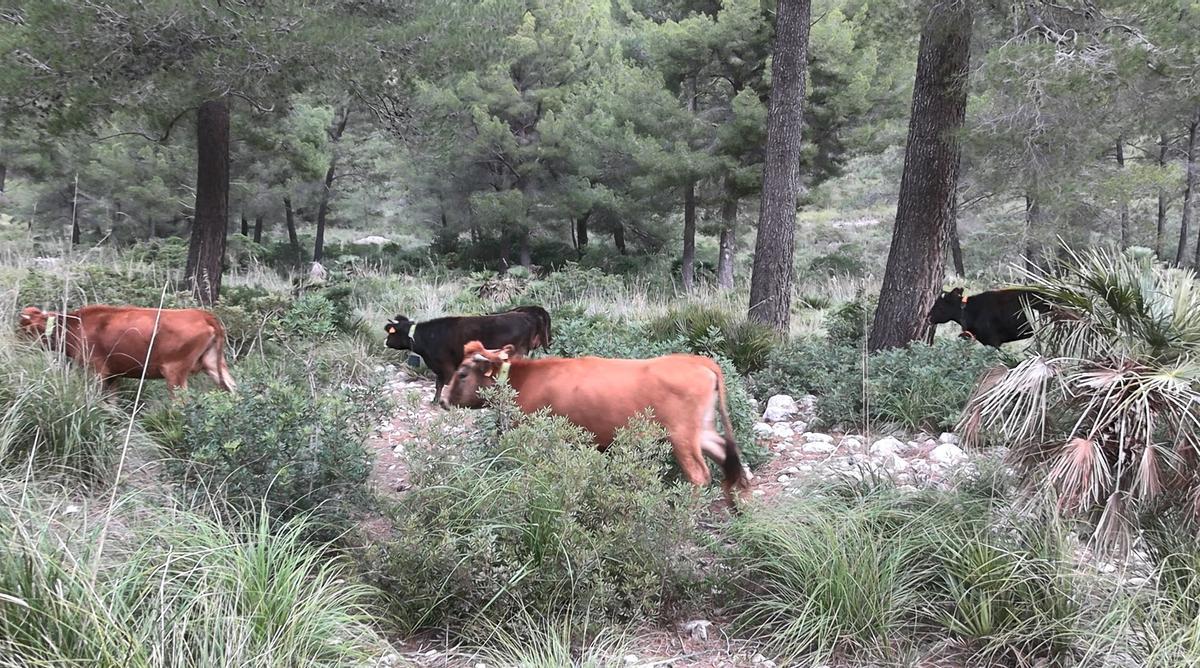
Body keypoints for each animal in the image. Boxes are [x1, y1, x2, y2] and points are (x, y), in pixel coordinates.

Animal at [17, 305, 236, 394]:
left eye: (27, 330)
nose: (16, 344)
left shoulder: (97, 371)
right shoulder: (113, 375)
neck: (75, 326)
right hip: (214, 365)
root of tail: (202, 314)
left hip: (175, 372)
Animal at [384, 311, 545, 403]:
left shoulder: (445, 365)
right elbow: (438, 384)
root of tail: (527, 316)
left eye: (391, 333)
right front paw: (434, 401)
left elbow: (445, 383)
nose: (385, 342)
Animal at [442, 341, 751, 505]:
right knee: (728, 454)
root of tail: (698, 361)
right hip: (703, 430)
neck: (525, 381)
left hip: (682, 435)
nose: (443, 399)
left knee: (699, 475)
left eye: (463, 373)